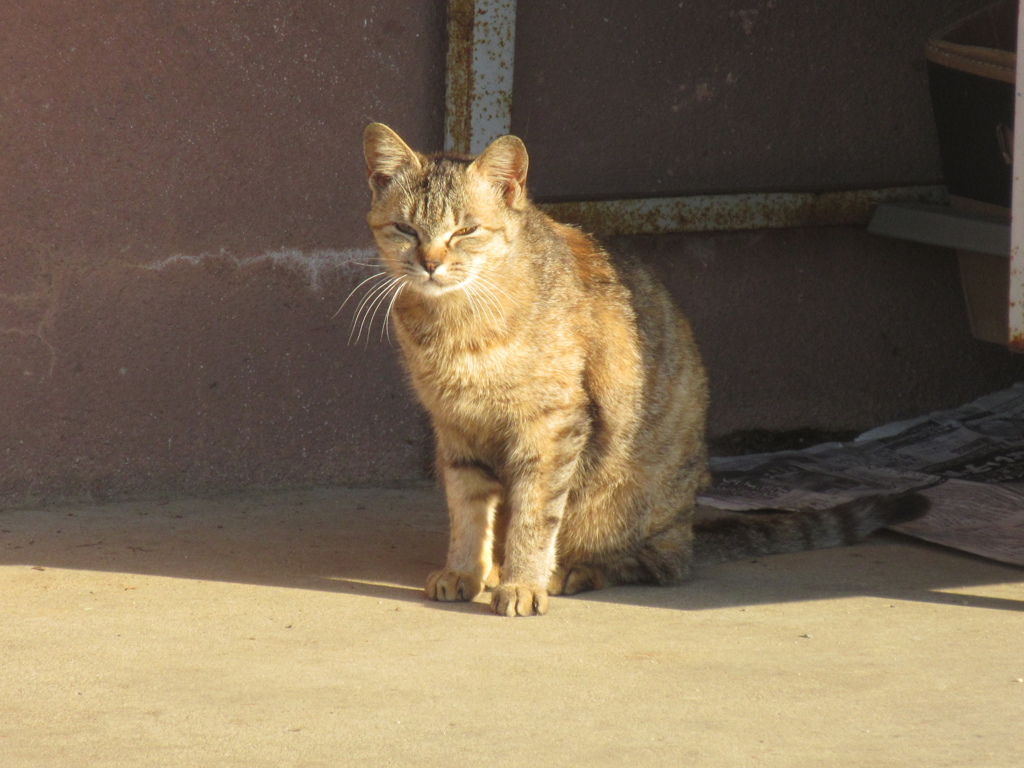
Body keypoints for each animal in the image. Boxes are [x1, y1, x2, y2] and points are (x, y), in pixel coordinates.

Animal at [360, 124, 929, 618]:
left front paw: (523, 581)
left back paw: (571, 571)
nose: (430, 263)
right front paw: (465, 570)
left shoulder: (552, 428)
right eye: (406, 229)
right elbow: (468, 510)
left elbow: (533, 517)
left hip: (629, 504)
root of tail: (691, 525)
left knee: (662, 563)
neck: (456, 324)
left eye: (465, 231)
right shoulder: (455, 429)